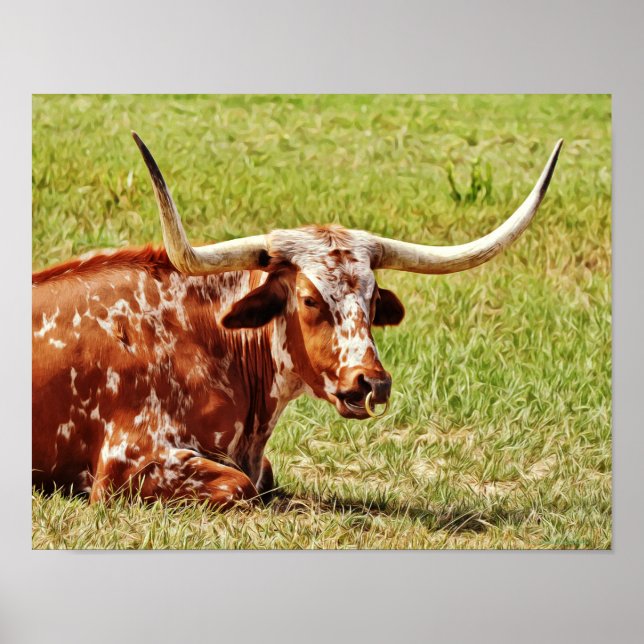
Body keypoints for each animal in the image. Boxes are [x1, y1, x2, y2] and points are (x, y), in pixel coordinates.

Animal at [32, 133, 562, 508]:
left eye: (373, 299)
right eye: (309, 299)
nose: (372, 383)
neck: (205, 338)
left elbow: (263, 476)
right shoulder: (130, 463)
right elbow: (241, 484)